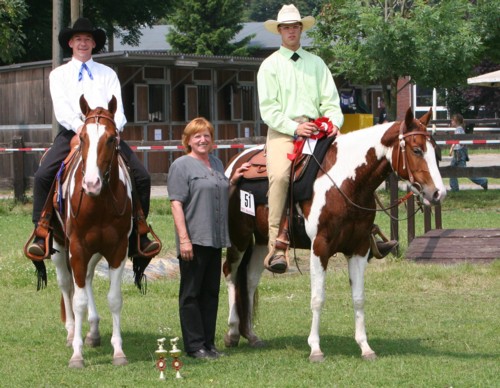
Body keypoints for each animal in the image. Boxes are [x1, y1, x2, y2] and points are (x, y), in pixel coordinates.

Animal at [50, 95, 133, 368]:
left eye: (111, 138)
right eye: (84, 138)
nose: (91, 184)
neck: (98, 203)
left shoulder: (117, 249)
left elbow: (114, 299)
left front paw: (118, 351)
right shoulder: (76, 247)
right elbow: (78, 301)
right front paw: (77, 355)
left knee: (85, 278)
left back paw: (93, 331)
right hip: (59, 246)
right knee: (67, 284)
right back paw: (70, 332)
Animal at [225, 107, 448, 362]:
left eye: (436, 152)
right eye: (416, 150)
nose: (438, 193)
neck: (345, 181)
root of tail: (236, 163)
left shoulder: (359, 249)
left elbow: (359, 298)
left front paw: (365, 347)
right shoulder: (320, 248)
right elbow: (317, 298)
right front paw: (315, 349)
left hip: (262, 241)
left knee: (250, 280)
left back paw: (251, 335)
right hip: (239, 238)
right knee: (231, 275)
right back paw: (232, 332)